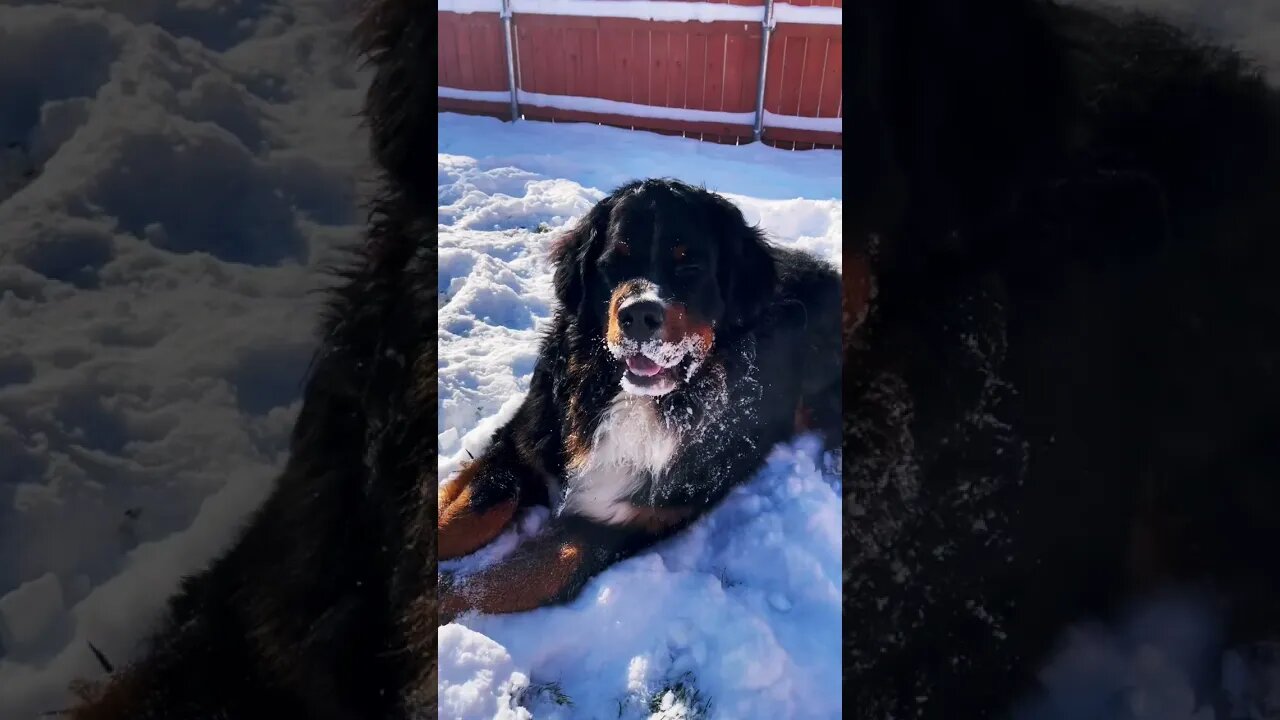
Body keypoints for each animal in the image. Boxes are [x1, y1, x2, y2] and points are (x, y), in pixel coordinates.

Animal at [435, 179, 844, 622]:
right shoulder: (523, 441)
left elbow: (513, 580)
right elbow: (468, 513)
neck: (629, 399)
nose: (638, 316)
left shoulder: (620, 523)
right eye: (614, 262)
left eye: (689, 267)